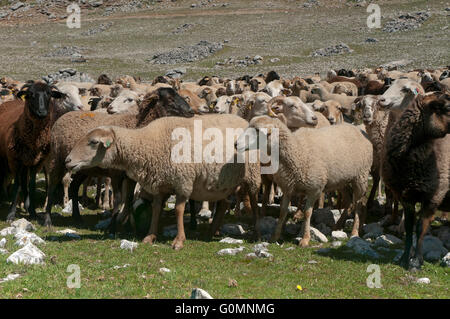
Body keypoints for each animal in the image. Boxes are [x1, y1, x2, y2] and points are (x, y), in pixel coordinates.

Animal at [42, 87, 195, 228]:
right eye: (170, 99)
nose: (191, 111)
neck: (138, 126)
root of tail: (63, 117)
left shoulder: (131, 176)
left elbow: (129, 198)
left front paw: (125, 224)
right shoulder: (115, 173)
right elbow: (118, 199)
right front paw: (112, 226)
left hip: (83, 168)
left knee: (74, 187)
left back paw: (77, 218)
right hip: (57, 159)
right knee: (52, 185)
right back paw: (48, 220)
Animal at [67, 114, 264, 251]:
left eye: (93, 142)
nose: (68, 160)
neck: (149, 144)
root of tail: (242, 119)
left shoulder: (183, 182)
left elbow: (178, 210)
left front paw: (178, 241)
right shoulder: (159, 184)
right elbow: (156, 209)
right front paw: (150, 236)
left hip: (252, 175)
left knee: (254, 203)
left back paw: (257, 233)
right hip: (223, 182)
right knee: (223, 205)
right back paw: (210, 232)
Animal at [237, 116, 370, 244]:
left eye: (257, 130)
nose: (236, 144)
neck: (297, 152)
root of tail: (355, 128)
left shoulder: (314, 189)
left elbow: (307, 213)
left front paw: (305, 238)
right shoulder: (288, 187)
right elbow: (282, 212)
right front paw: (275, 236)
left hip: (361, 177)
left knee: (359, 204)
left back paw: (355, 232)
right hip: (342, 180)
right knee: (349, 201)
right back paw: (338, 226)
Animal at [382, 92, 448, 270]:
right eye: (446, 108)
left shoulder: (435, 195)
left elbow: (420, 227)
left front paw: (417, 261)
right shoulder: (406, 197)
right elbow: (409, 227)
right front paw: (405, 258)